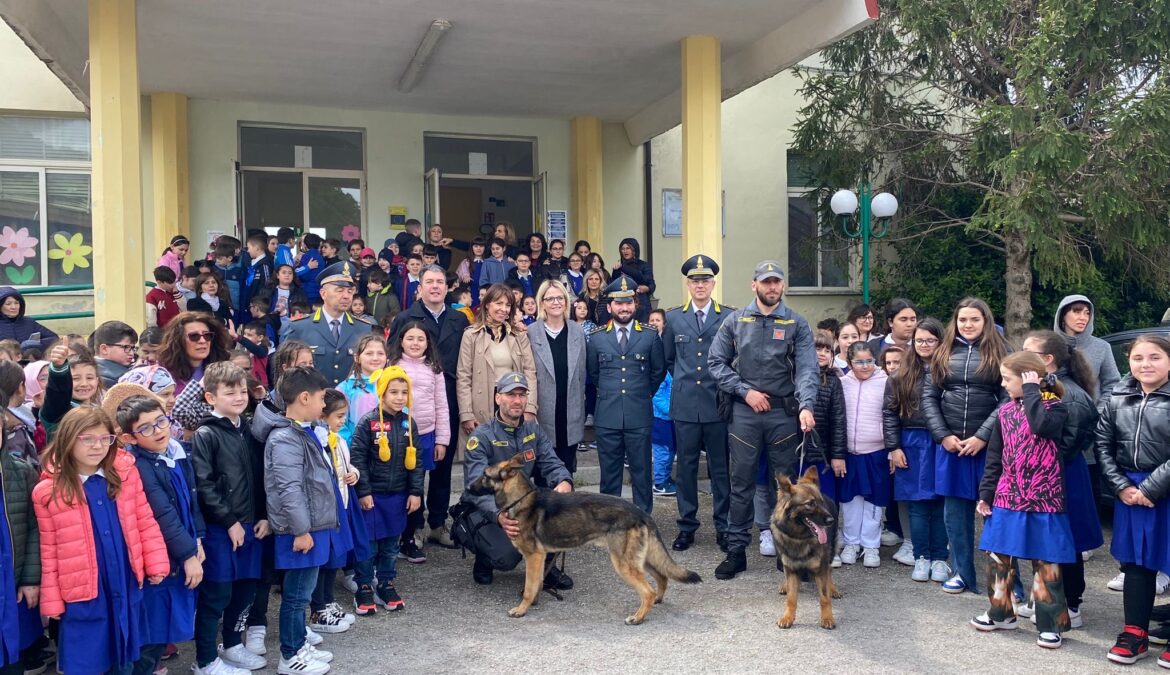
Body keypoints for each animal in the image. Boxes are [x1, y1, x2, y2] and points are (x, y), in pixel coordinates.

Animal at [465, 449, 697, 622]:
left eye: (485, 475)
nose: (467, 487)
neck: (520, 498)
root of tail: (641, 512)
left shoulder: (533, 557)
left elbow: (529, 587)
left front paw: (522, 609)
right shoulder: (539, 558)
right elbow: (536, 583)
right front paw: (534, 602)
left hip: (624, 563)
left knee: (647, 590)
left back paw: (638, 617)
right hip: (642, 559)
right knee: (662, 576)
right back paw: (657, 600)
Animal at [767, 465, 842, 627]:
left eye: (821, 502)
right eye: (810, 504)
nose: (831, 520)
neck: (799, 538)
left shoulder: (820, 566)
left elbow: (824, 597)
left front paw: (827, 618)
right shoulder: (790, 567)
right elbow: (791, 598)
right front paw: (788, 617)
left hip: (830, 553)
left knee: (830, 570)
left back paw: (833, 588)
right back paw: (785, 585)